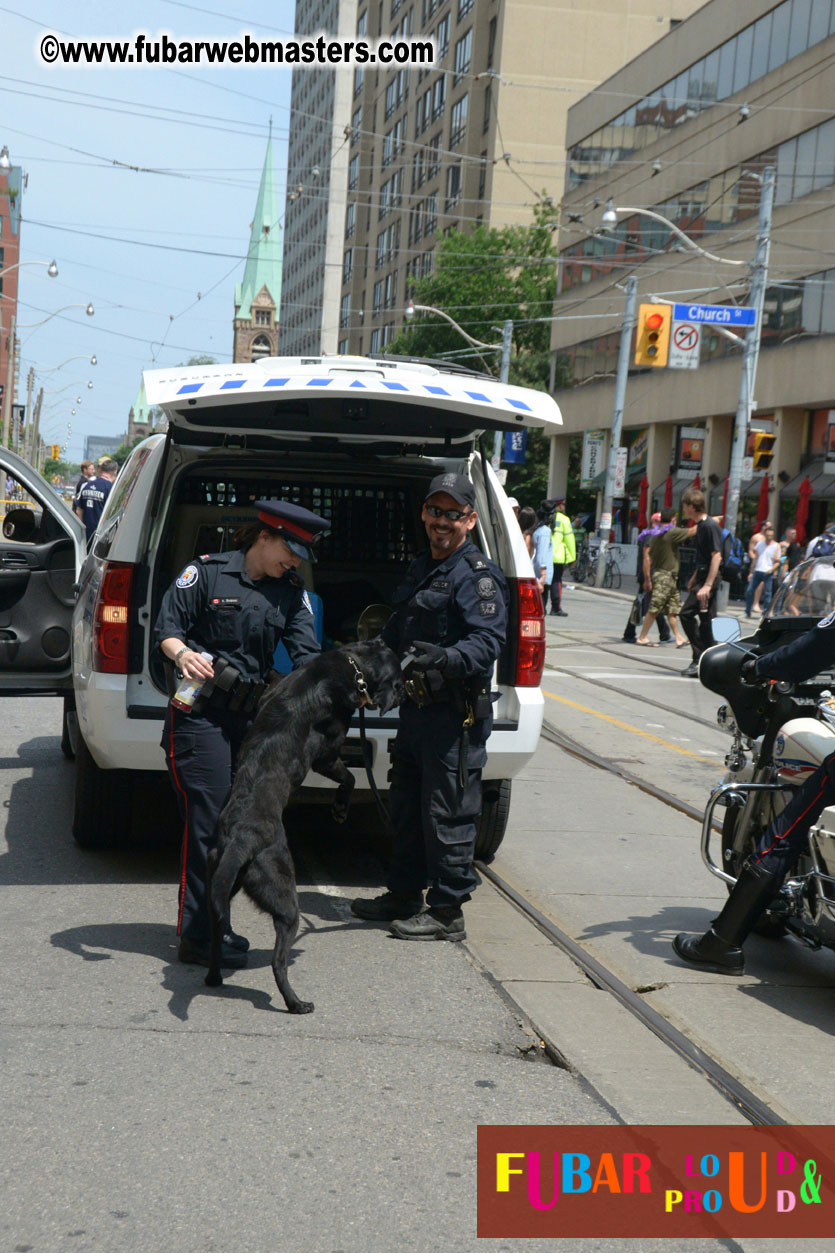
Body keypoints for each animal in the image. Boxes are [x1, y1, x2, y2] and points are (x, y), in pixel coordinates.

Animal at [203, 641, 401, 1012]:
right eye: (400, 678)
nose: (406, 694)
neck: (351, 666)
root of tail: (239, 839)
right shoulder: (328, 754)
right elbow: (351, 777)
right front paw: (340, 808)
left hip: (224, 884)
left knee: (214, 932)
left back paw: (214, 977)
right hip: (286, 902)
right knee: (277, 961)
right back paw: (296, 1002)